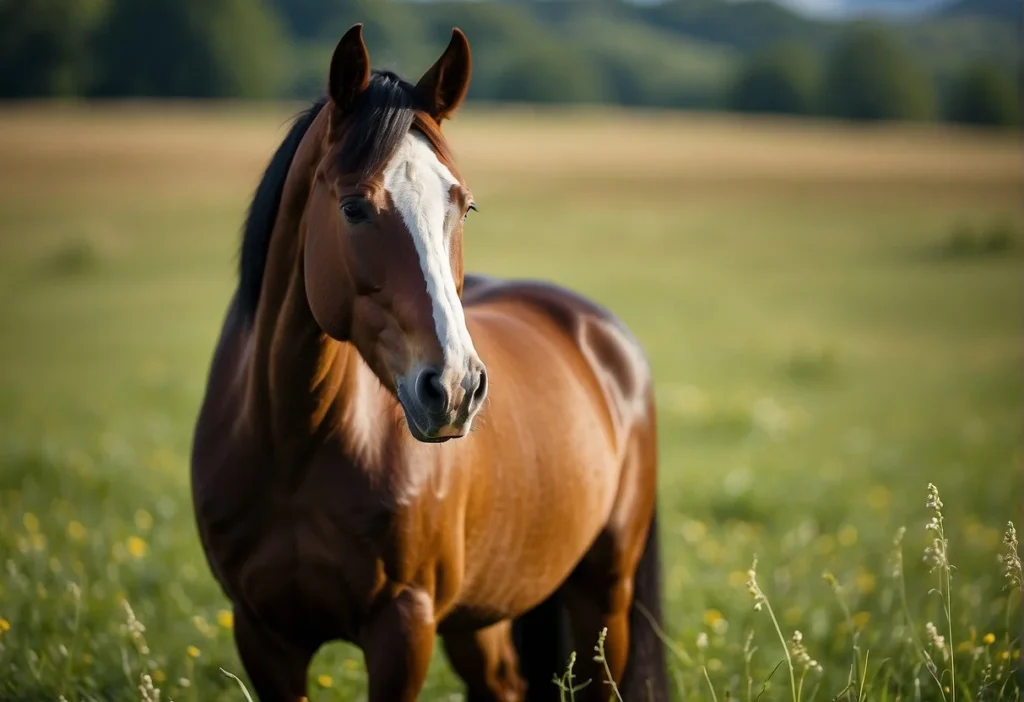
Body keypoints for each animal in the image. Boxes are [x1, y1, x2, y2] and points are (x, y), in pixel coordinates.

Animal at [192, 23, 671, 702]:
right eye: (353, 208)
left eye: (463, 206)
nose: (454, 388)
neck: (291, 444)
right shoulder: (263, 635)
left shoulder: (403, 627)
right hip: (481, 616)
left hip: (604, 597)